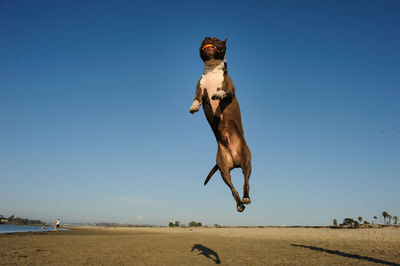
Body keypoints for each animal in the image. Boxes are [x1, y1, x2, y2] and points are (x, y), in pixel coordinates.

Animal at [189, 37, 252, 212]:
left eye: (217, 40)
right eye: (203, 41)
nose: (208, 38)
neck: (212, 71)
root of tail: (235, 161)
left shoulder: (230, 90)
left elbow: (223, 93)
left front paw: (217, 94)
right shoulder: (199, 91)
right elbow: (195, 99)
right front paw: (194, 107)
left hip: (247, 162)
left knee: (246, 183)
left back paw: (246, 198)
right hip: (224, 169)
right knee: (233, 189)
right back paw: (239, 205)